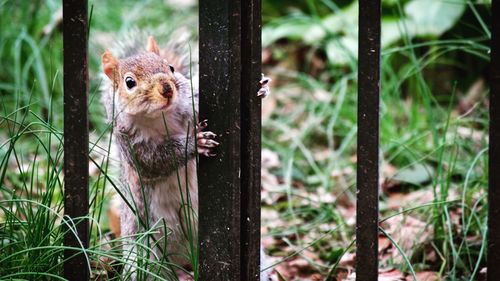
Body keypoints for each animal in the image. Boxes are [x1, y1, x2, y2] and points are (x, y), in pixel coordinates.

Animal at [101, 35, 272, 278]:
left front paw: (261, 87)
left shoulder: (191, 103)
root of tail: (183, 261)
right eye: (129, 82)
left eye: (170, 68)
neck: (158, 116)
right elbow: (155, 162)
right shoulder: (132, 145)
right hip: (145, 253)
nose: (167, 89)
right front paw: (196, 143)